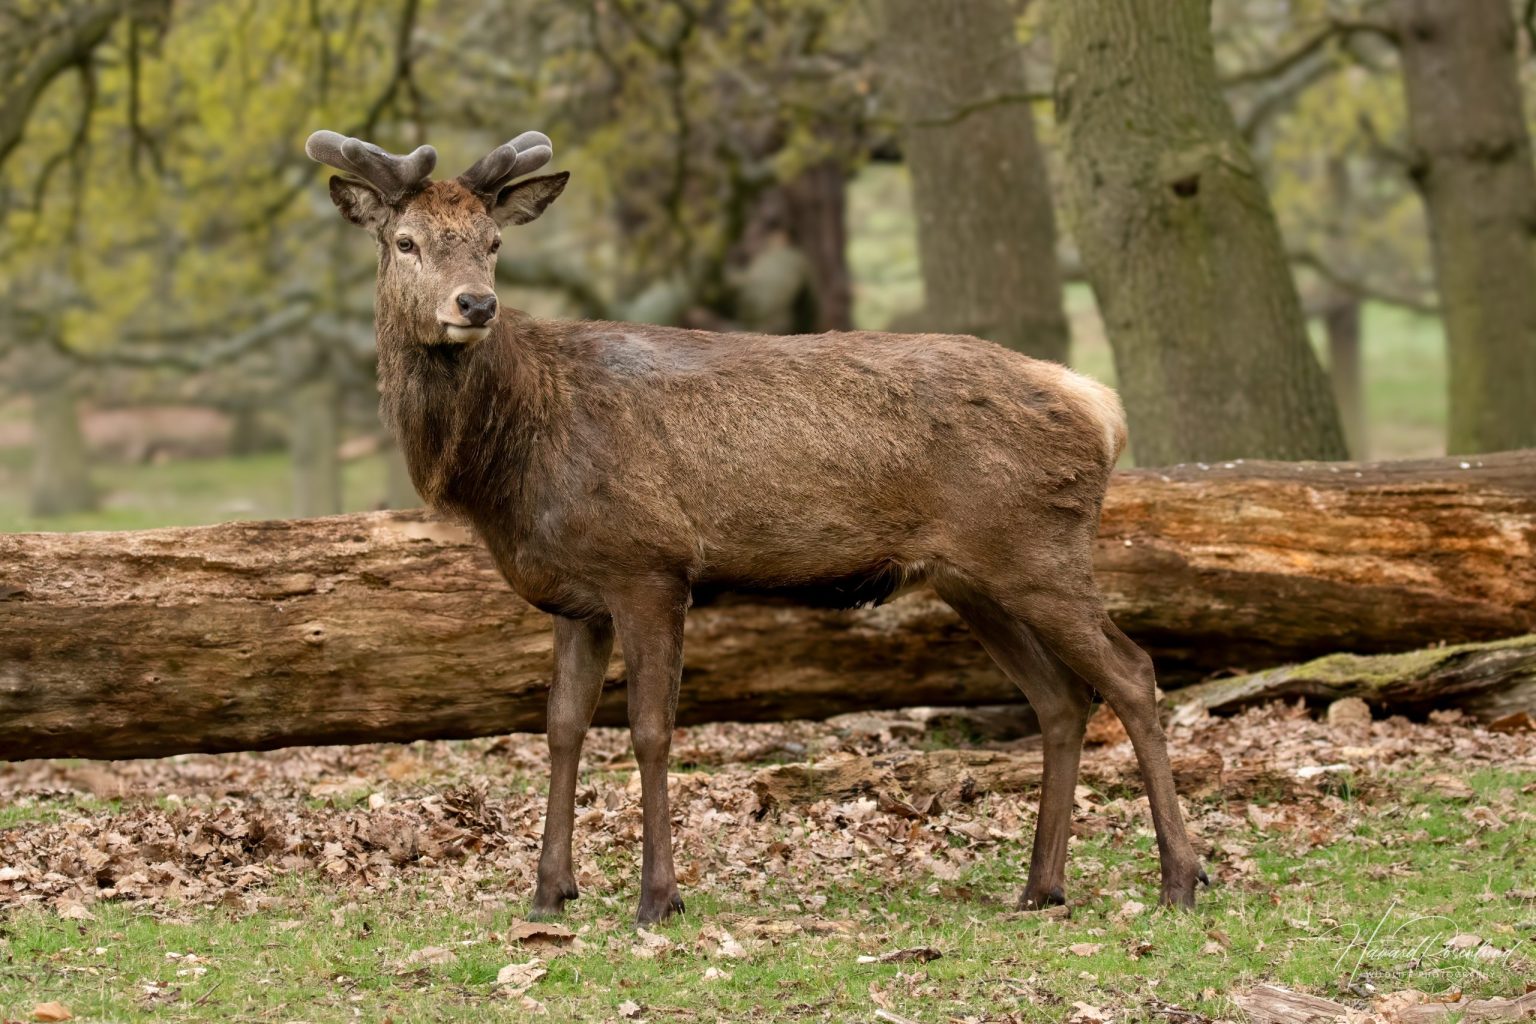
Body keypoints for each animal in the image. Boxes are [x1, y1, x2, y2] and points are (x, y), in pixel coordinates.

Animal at [305, 128, 1207, 924]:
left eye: (493, 243)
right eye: (407, 242)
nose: (476, 304)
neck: (513, 460)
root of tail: (1102, 408)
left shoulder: (651, 565)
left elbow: (650, 731)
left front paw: (658, 899)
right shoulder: (578, 597)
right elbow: (560, 729)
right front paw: (549, 891)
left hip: (1038, 550)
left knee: (1132, 673)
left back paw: (1180, 878)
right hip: (974, 578)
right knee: (1061, 699)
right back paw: (1040, 887)